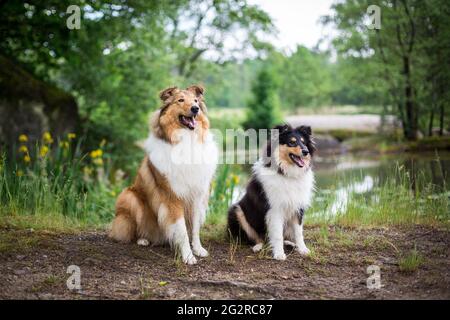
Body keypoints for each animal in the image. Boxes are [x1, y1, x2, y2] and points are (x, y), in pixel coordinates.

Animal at [111, 85, 219, 264]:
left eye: (196, 101)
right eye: (180, 100)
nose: (195, 109)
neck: (186, 141)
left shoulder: (197, 195)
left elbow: (195, 228)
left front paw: (198, 249)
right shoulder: (172, 197)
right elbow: (182, 230)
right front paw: (188, 256)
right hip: (129, 196)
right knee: (133, 228)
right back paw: (143, 239)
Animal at [227, 124, 314, 262]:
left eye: (304, 142)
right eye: (292, 142)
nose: (306, 152)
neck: (286, 173)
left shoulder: (297, 207)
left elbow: (299, 232)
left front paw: (303, 249)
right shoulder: (275, 209)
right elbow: (277, 234)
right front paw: (279, 254)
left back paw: (290, 243)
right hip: (237, 211)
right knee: (257, 238)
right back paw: (258, 246)